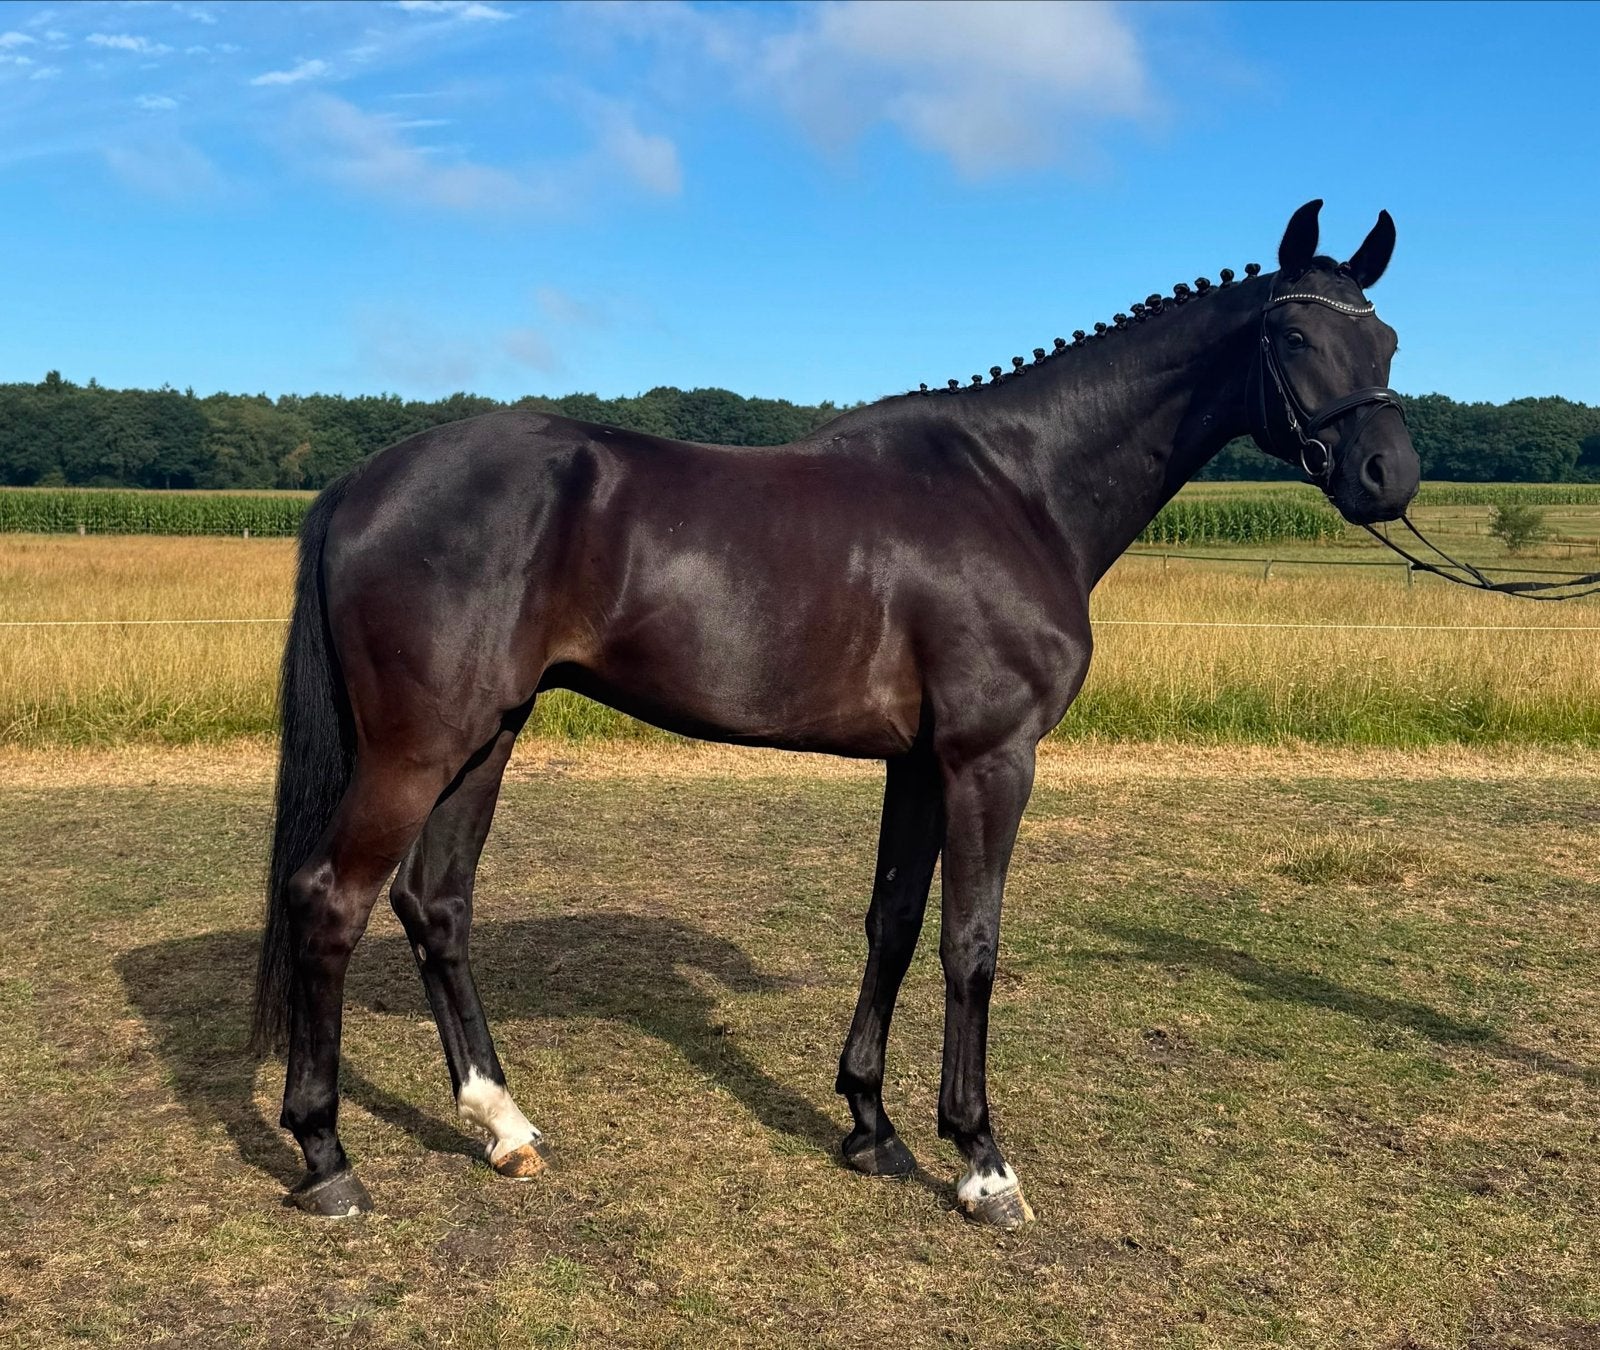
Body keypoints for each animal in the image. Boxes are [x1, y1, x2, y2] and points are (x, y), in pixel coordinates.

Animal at [251, 199, 1419, 1229]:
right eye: (1296, 332)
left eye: (1388, 338)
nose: (1388, 474)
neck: (1017, 489)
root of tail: (363, 481)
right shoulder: (990, 760)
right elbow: (970, 943)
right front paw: (982, 1162)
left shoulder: (920, 764)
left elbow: (893, 925)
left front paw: (870, 1125)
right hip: (417, 750)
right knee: (330, 901)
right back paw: (326, 1155)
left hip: (486, 739)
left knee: (436, 904)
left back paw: (502, 1124)